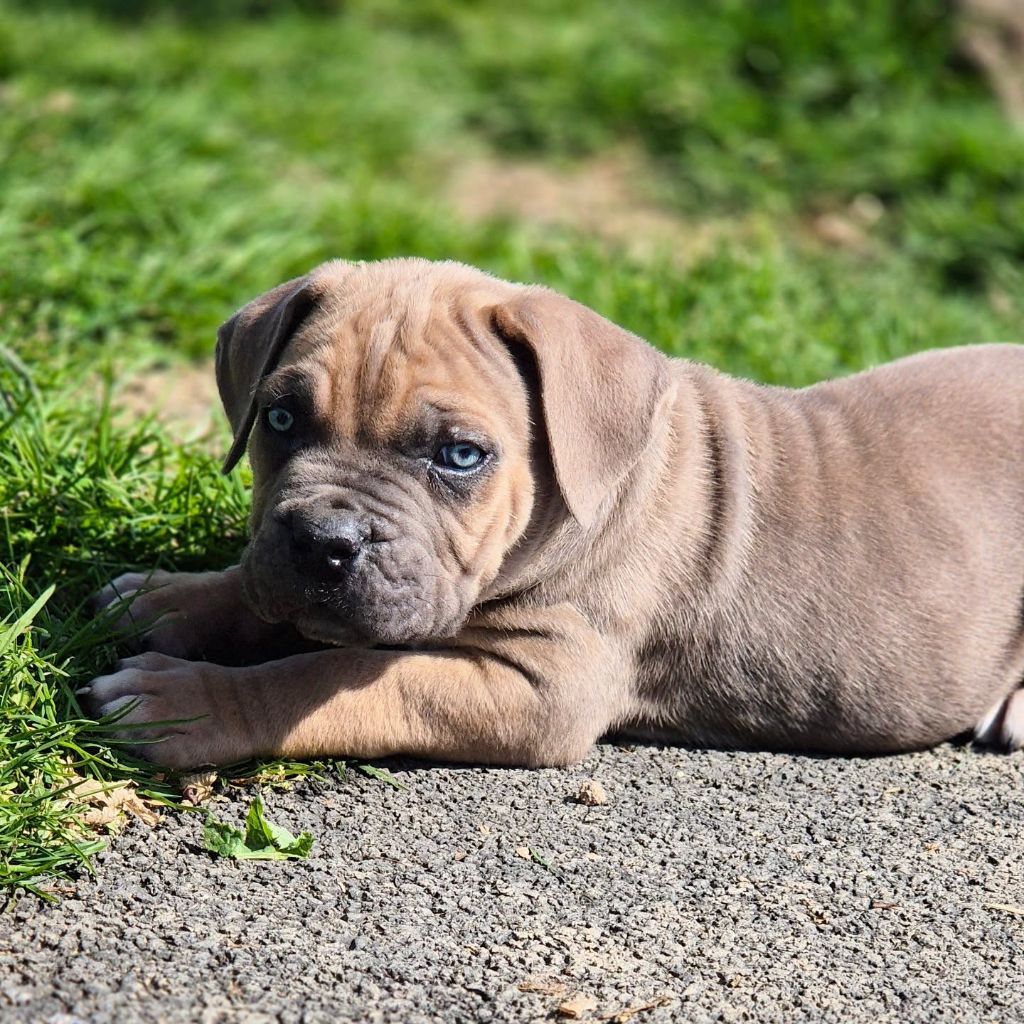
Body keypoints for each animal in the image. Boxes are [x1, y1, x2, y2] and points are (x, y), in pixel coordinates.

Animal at [81, 260, 1024, 765]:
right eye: (278, 421)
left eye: (460, 456)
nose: (323, 541)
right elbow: (257, 598)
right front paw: (166, 597)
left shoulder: (541, 687)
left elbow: (321, 675)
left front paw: (186, 704)